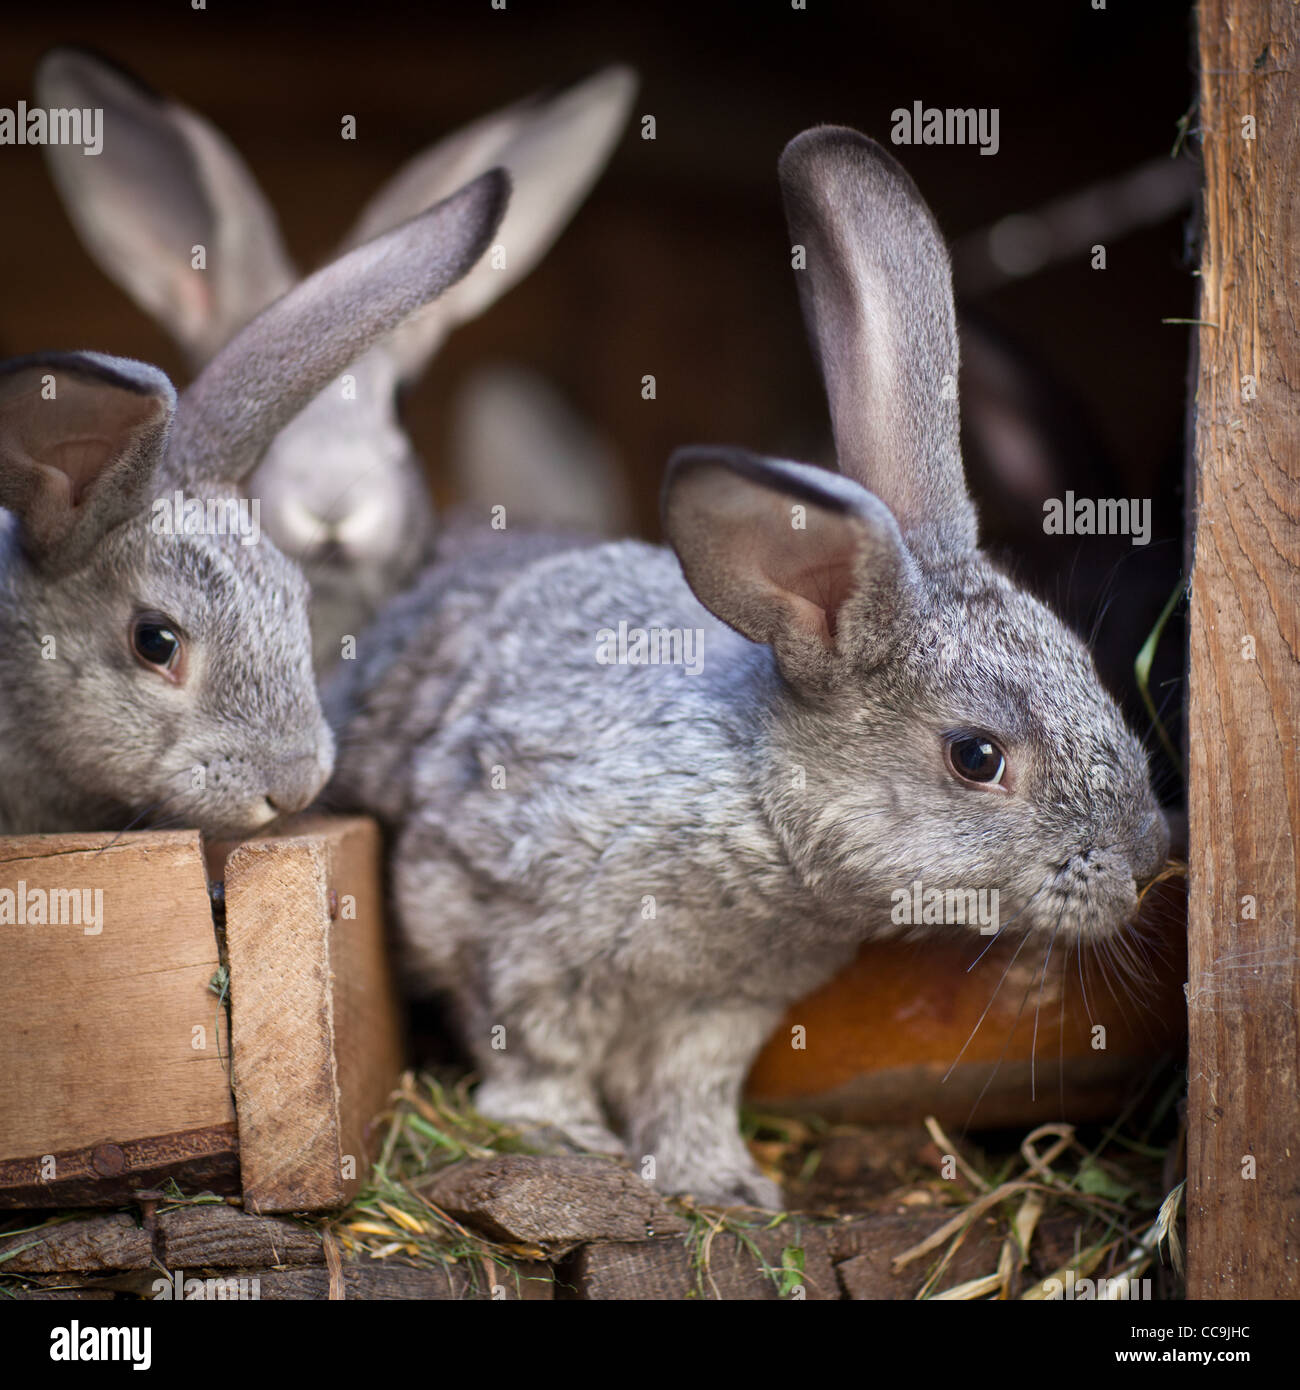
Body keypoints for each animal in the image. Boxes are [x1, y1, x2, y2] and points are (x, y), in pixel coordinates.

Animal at [323, 127, 1169, 1209]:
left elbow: (689, 1089)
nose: (1147, 855)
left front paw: (720, 1182)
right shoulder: (503, 930)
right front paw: (564, 1138)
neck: (761, 799)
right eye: (976, 756)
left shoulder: (717, 1011)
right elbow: (534, 1051)